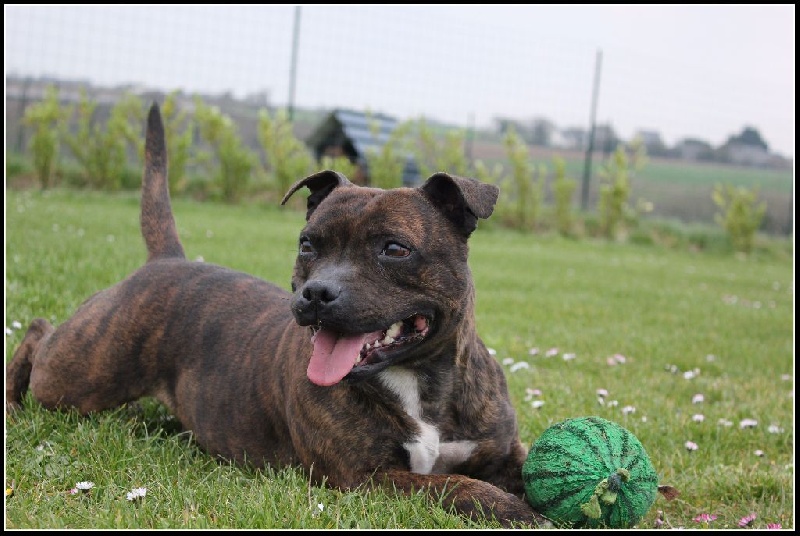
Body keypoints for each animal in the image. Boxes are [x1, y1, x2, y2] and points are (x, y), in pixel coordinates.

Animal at [6, 103, 542, 528]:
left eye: (394, 249)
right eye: (308, 244)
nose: (317, 293)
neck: (420, 383)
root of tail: (166, 260)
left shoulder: (501, 452)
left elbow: (514, 467)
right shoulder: (365, 479)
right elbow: (457, 486)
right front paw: (519, 511)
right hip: (78, 378)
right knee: (38, 330)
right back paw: (12, 401)